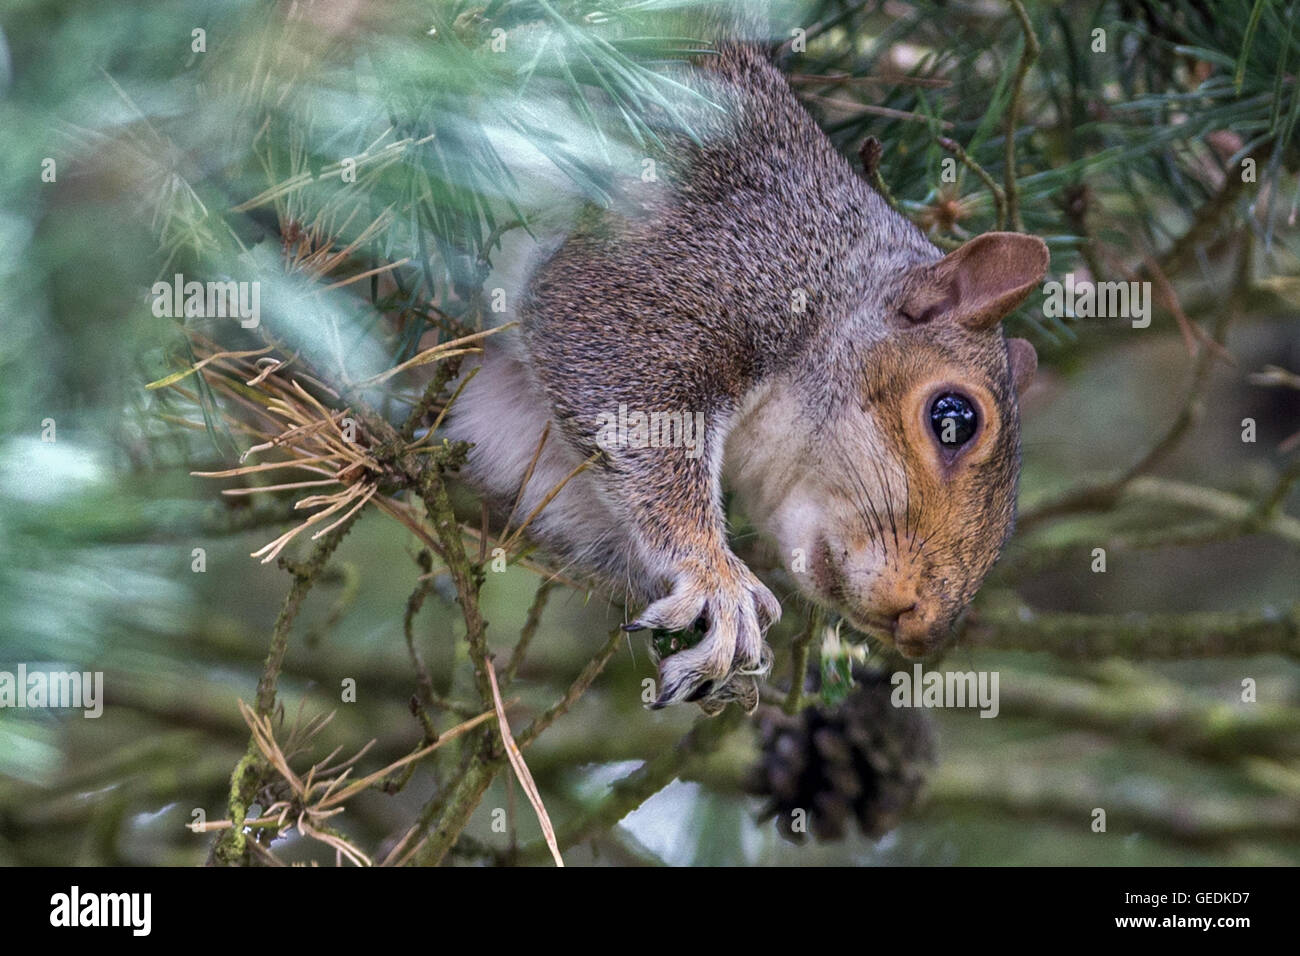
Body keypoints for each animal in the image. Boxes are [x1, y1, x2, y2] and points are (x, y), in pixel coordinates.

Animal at [445, 20, 1048, 714]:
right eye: (955, 417)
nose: (921, 628)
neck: (830, 270)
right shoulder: (683, 265)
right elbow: (625, 391)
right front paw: (716, 576)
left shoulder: (516, 401)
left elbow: (510, 443)